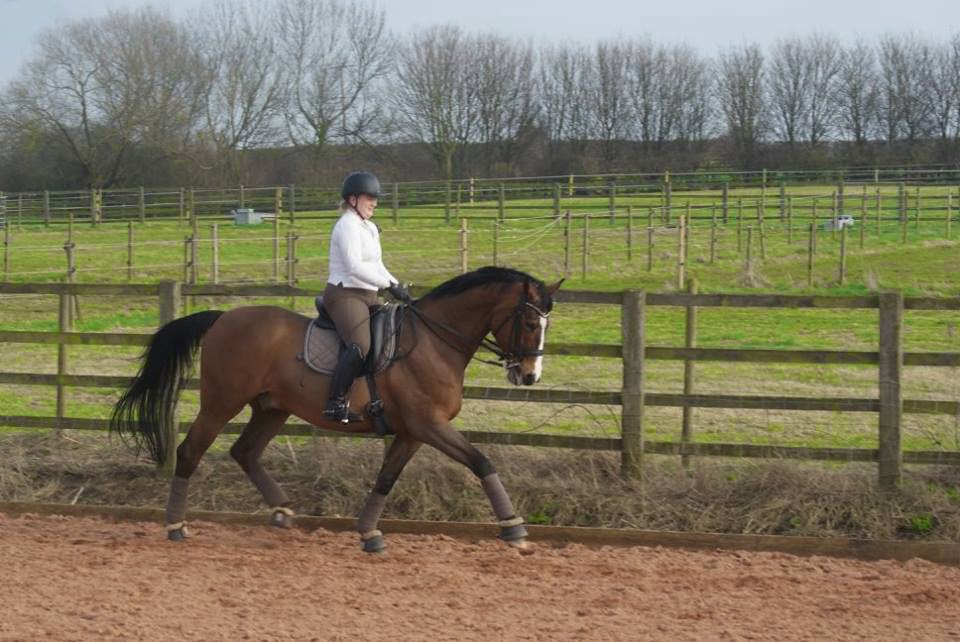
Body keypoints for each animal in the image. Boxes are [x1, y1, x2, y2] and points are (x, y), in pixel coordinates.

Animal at [110, 266, 562, 552]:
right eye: (529, 324)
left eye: (545, 324)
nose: (529, 376)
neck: (434, 341)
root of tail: (223, 318)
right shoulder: (428, 425)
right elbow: (482, 461)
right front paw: (514, 528)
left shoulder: (412, 432)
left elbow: (386, 478)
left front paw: (368, 534)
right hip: (221, 403)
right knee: (190, 452)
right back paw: (176, 526)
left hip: (272, 409)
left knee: (245, 452)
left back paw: (282, 512)